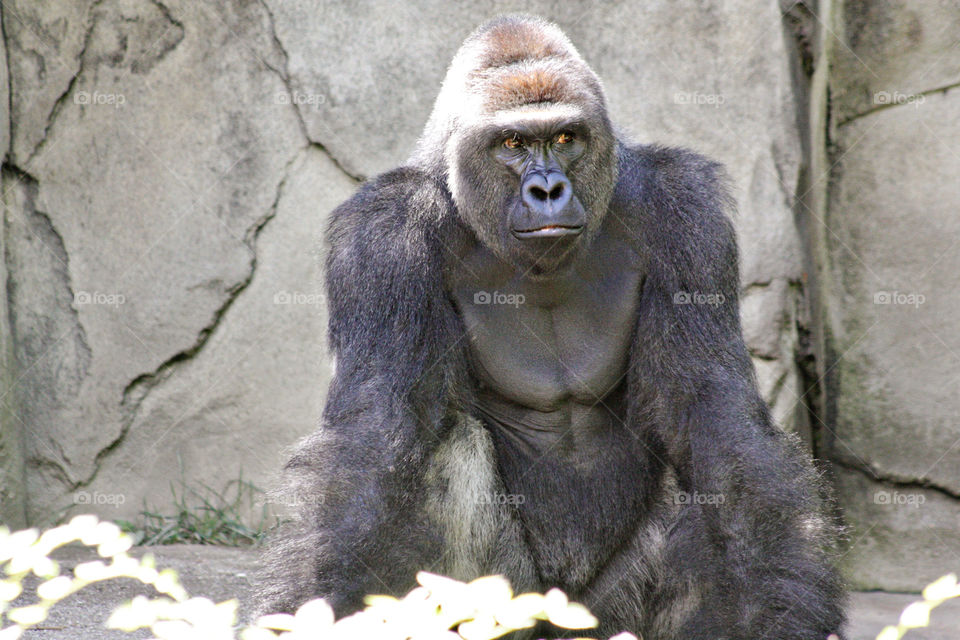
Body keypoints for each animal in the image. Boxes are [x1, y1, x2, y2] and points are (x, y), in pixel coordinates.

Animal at [257, 15, 846, 640]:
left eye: (565, 138)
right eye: (513, 144)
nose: (547, 191)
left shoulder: (686, 212)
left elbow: (715, 420)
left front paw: (778, 617)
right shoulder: (382, 237)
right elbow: (377, 443)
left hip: (603, 618)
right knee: (448, 454)